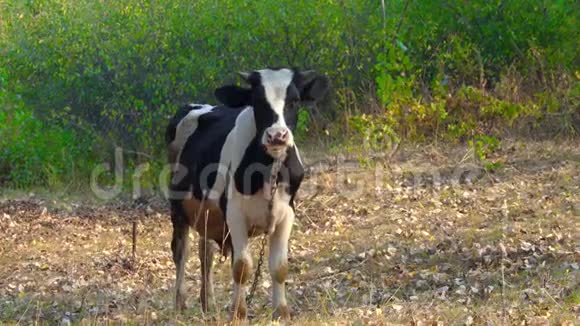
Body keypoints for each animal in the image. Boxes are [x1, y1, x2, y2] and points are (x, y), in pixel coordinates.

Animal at [168, 67, 328, 320]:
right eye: (257, 101)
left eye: (294, 100)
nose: (277, 135)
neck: (268, 171)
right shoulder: (234, 215)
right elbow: (242, 267)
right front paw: (238, 312)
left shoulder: (287, 213)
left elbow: (280, 267)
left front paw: (281, 312)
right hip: (178, 207)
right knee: (181, 251)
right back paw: (180, 303)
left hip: (208, 214)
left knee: (205, 253)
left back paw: (208, 302)